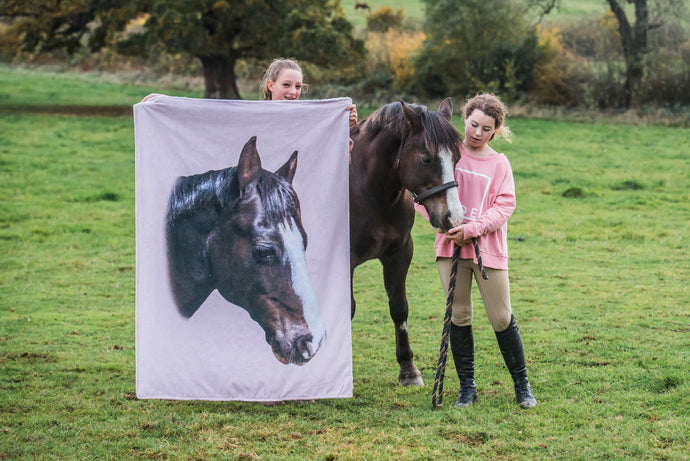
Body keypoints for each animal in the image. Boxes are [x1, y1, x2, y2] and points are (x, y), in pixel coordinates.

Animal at [350, 99, 462, 384]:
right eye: (427, 158)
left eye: (456, 158)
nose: (453, 217)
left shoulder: (400, 253)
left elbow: (399, 308)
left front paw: (408, 369)